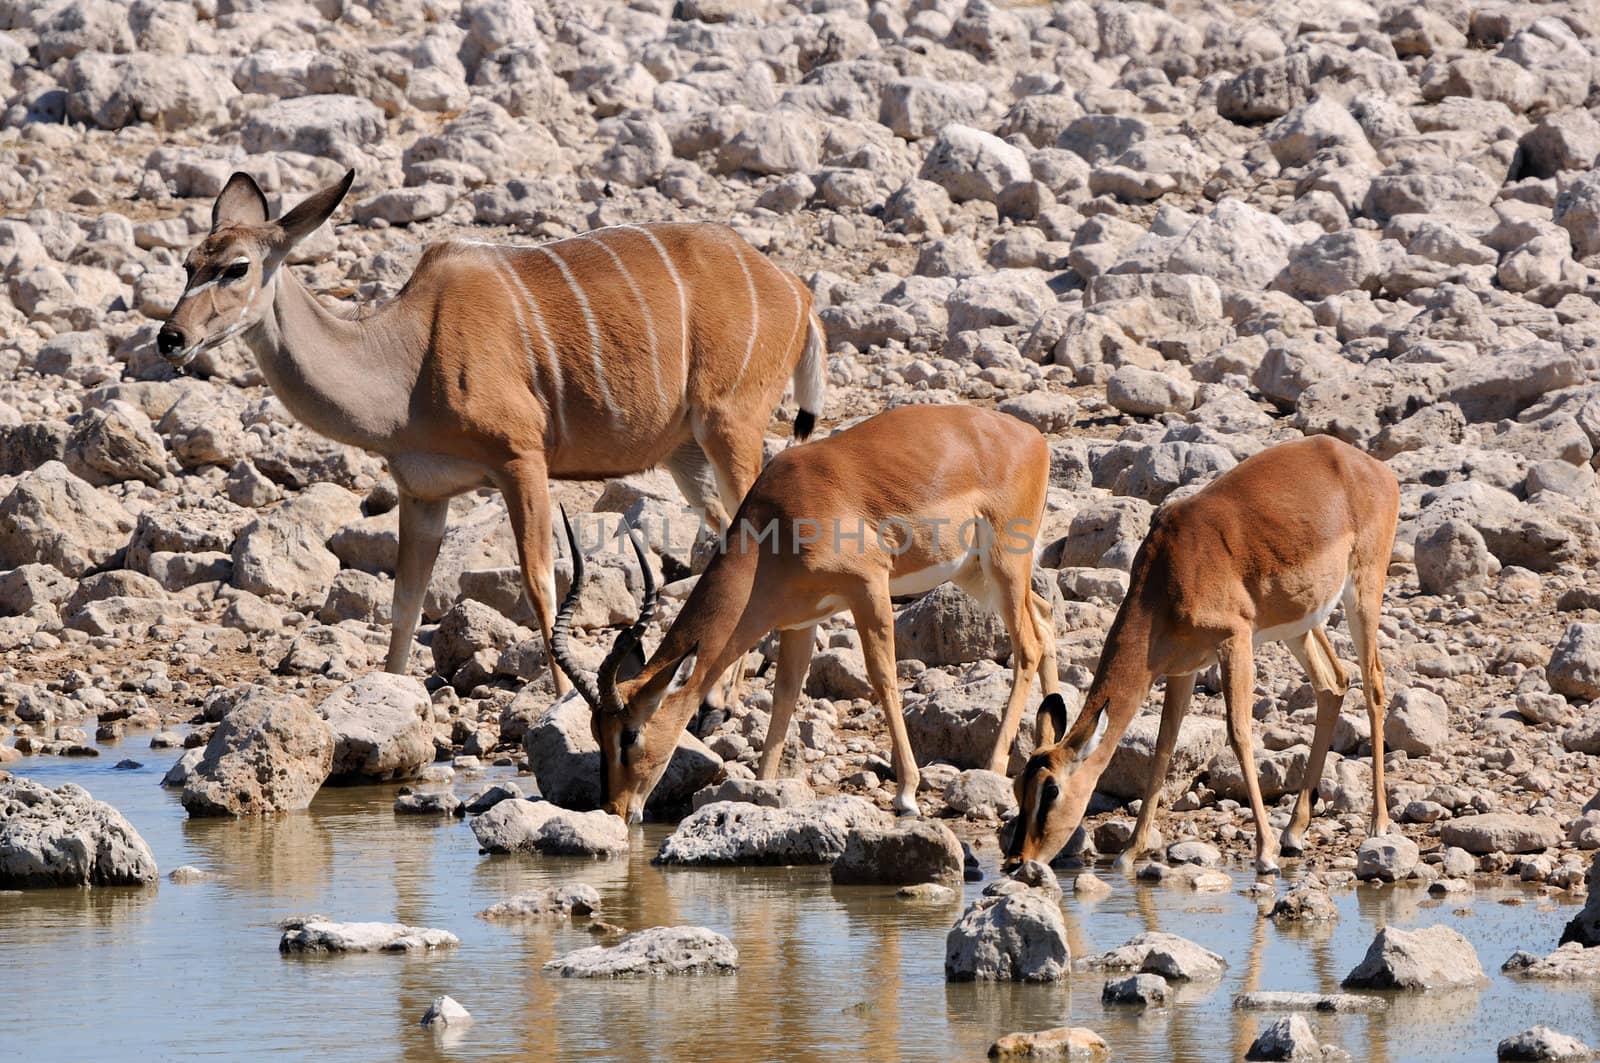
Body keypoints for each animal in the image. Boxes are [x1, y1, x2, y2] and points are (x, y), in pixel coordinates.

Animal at [157, 170, 832, 694]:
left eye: (236, 267)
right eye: (187, 264)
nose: (170, 338)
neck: (408, 359)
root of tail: (799, 293)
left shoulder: (520, 458)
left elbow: (540, 585)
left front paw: (561, 698)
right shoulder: (423, 492)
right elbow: (405, 602)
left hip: (730, 426)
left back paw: (726, 693)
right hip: (686, 454)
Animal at [550, 405, 1062, 819]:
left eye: (629, 735)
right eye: (595, 733)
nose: (615, 809)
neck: (777, 525)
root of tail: (1030, 436)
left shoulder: (868, 587)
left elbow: (884, 678)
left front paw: (907, 794)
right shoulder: (801, 620)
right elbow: (785, 695)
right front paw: (760, 788)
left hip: (1003, 566)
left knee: (1028, 645)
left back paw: (994, 766)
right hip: (974, 573)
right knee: (1045, 617)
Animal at [1004, 435, 1395, 877]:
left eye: (1051, 790)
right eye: (1018, 786)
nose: (1017, 861)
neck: (1169, 573)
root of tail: (1366, 464)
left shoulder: (1234, 641)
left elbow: (1239, 734)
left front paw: (1265, 855)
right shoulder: (1181, 670)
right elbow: (1164, 746)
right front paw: (1128, 853)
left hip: (1362, 593)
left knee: (1374, 685)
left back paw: (1378, 824)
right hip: (1300, 624)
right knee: (1333, 685)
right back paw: (1294, 832)